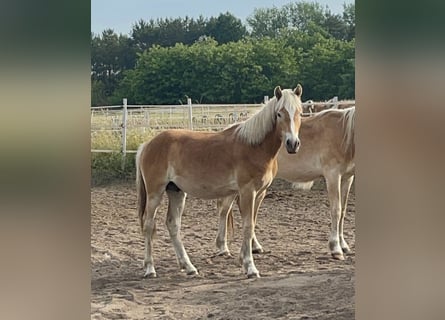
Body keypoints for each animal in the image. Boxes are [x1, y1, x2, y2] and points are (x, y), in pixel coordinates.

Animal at [134, 84, 302, 278]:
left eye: (300, 112)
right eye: (280, 114)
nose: (292, 144)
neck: (255, 146)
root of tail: (147, 144)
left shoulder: (259, 193)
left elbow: (251, 224)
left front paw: (244, 259)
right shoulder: (247, 191)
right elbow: (247, 226)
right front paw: (250, 267)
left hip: (176, 191)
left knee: (173, 224)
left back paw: (189, 267)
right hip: (155, 193)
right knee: (148, 225)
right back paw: (150, 268)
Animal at [213, 106, 356, 262]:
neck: (342, 133)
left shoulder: (347, 178)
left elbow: (343, 211)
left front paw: (343, 245)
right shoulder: (332, 176)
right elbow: (336, 210)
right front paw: (336, 248)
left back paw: (254, 246)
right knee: (224, 210)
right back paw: (223, 248)